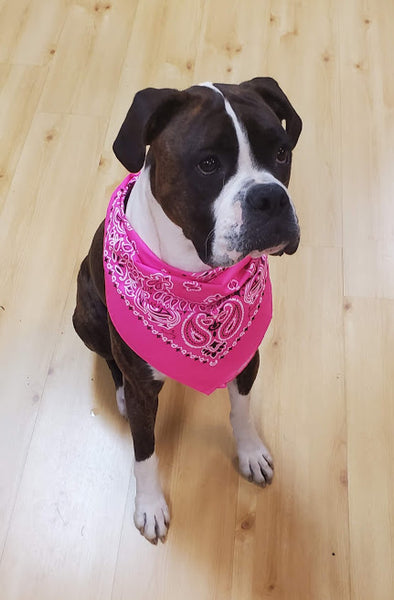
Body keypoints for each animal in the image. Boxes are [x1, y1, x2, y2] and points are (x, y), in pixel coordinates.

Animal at [73, 78, 302, 544]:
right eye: (208, 164)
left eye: (281, 152)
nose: (270, 196)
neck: (196, 281)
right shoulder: (144, 391)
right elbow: (144, 450)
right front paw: (150, 505)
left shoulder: (247, 357)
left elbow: (241, 410)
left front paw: (250, 452)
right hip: (86, 316)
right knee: (110, 359)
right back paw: (119, 393)